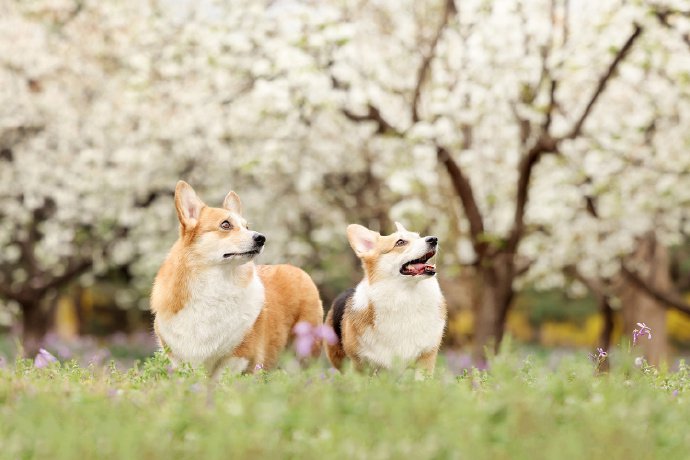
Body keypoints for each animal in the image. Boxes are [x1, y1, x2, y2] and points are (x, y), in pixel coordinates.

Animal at [150, 180, 322, 374]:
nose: (262, 238)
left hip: (304, 349)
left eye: (247, 227)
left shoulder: (239, 358)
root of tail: (294, 268)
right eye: (225, 224)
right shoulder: (180, 361)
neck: (214, 285)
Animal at [324, 222, 446, 374]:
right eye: (400, 242)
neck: (405, 297)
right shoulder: (359, 363)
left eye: (418, 237)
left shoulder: (425, 358)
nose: (434, 239)